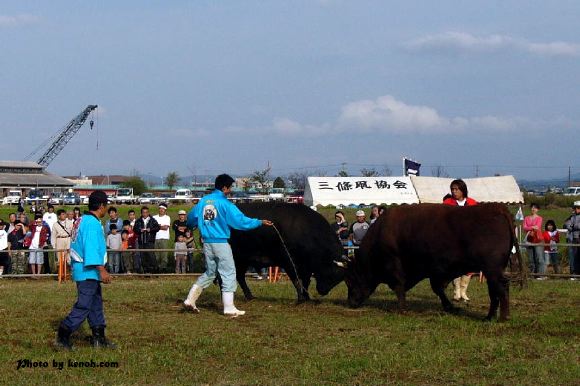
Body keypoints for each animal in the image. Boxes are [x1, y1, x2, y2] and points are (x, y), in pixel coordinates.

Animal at [342, 204, 524, 322]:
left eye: (349, 281)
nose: (350, 302)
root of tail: (497, 208)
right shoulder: (436, 272)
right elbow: (438, 289)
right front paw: (450, 307)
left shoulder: (396, 267)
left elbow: (400, 287)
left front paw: (402, 309)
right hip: (491, 270)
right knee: (496, 291)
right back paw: (489, 316)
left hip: (492, 270)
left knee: (501, 288)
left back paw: (503, 317)